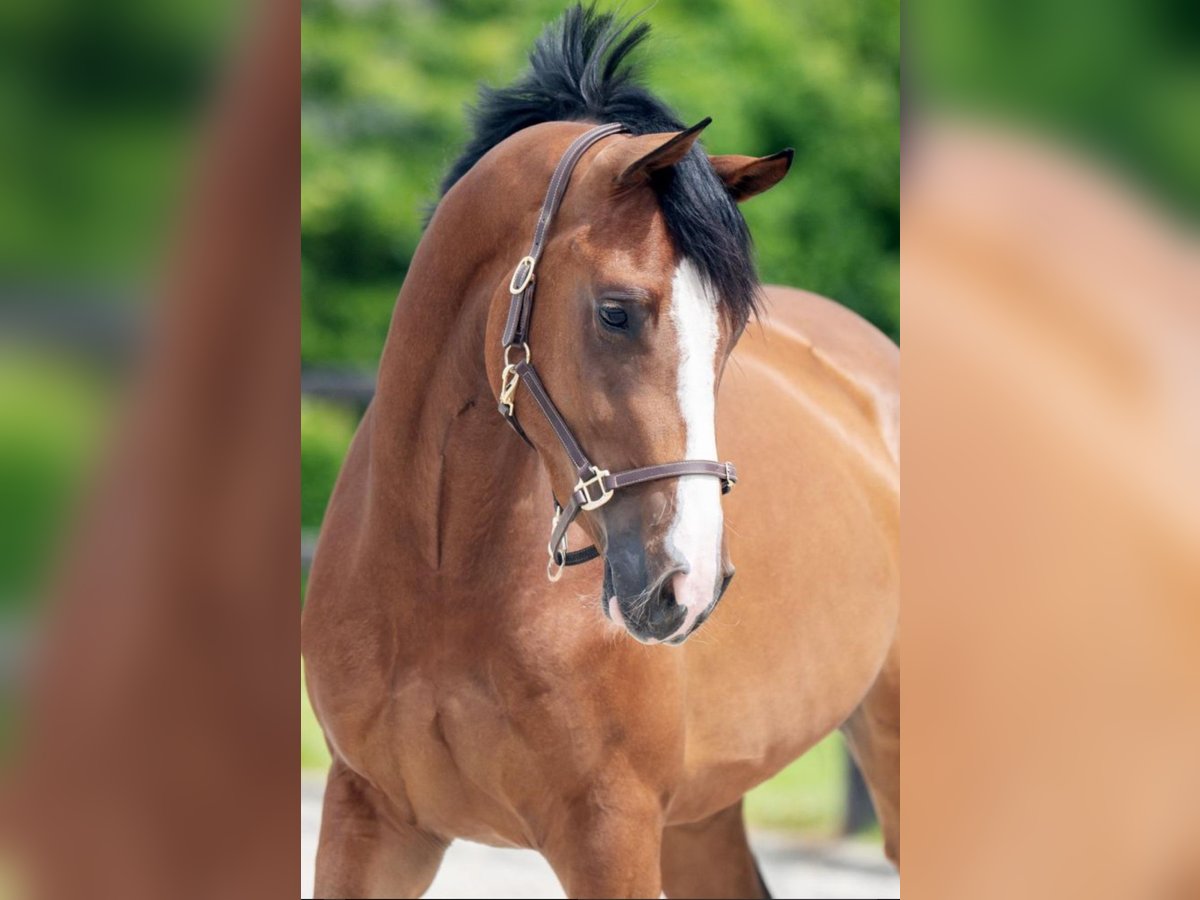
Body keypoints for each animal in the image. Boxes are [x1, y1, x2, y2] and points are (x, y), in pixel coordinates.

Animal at [304, 8, 897, 900]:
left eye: (730, 332)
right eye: (616, 312)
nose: (689, 587)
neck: (440, 579)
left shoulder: (609, 832)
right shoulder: (368, 817)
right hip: (699, 817)